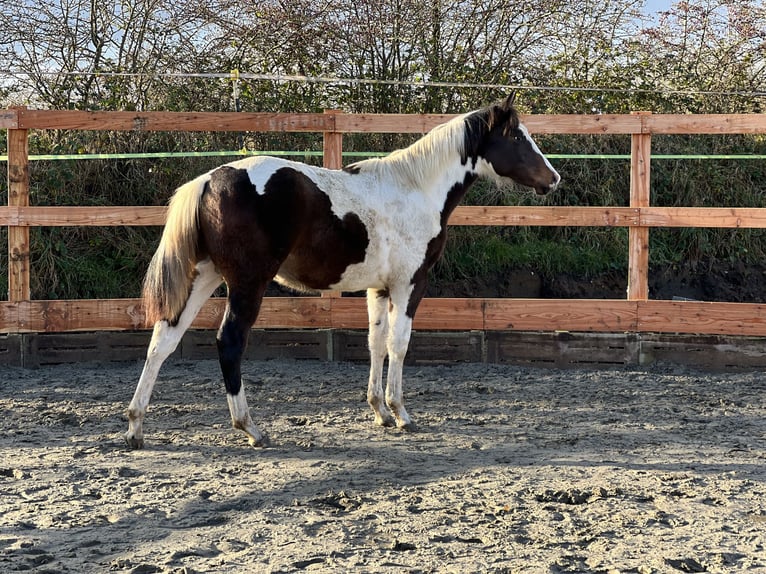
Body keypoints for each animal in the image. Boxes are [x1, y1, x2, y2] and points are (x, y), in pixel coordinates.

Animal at [124, 95, 560, 450]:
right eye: (517, 137)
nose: (553, 178)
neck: (415, 189)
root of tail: (209, 180)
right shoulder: (409, 284)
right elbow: (399, 344)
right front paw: (401, 414)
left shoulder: (378, 289)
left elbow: (375, 343)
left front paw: (379, 411)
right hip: (247, 284)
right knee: (229, 342)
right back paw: (251, 428)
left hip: (204, 278)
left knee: (163, 340)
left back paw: (135, 427)